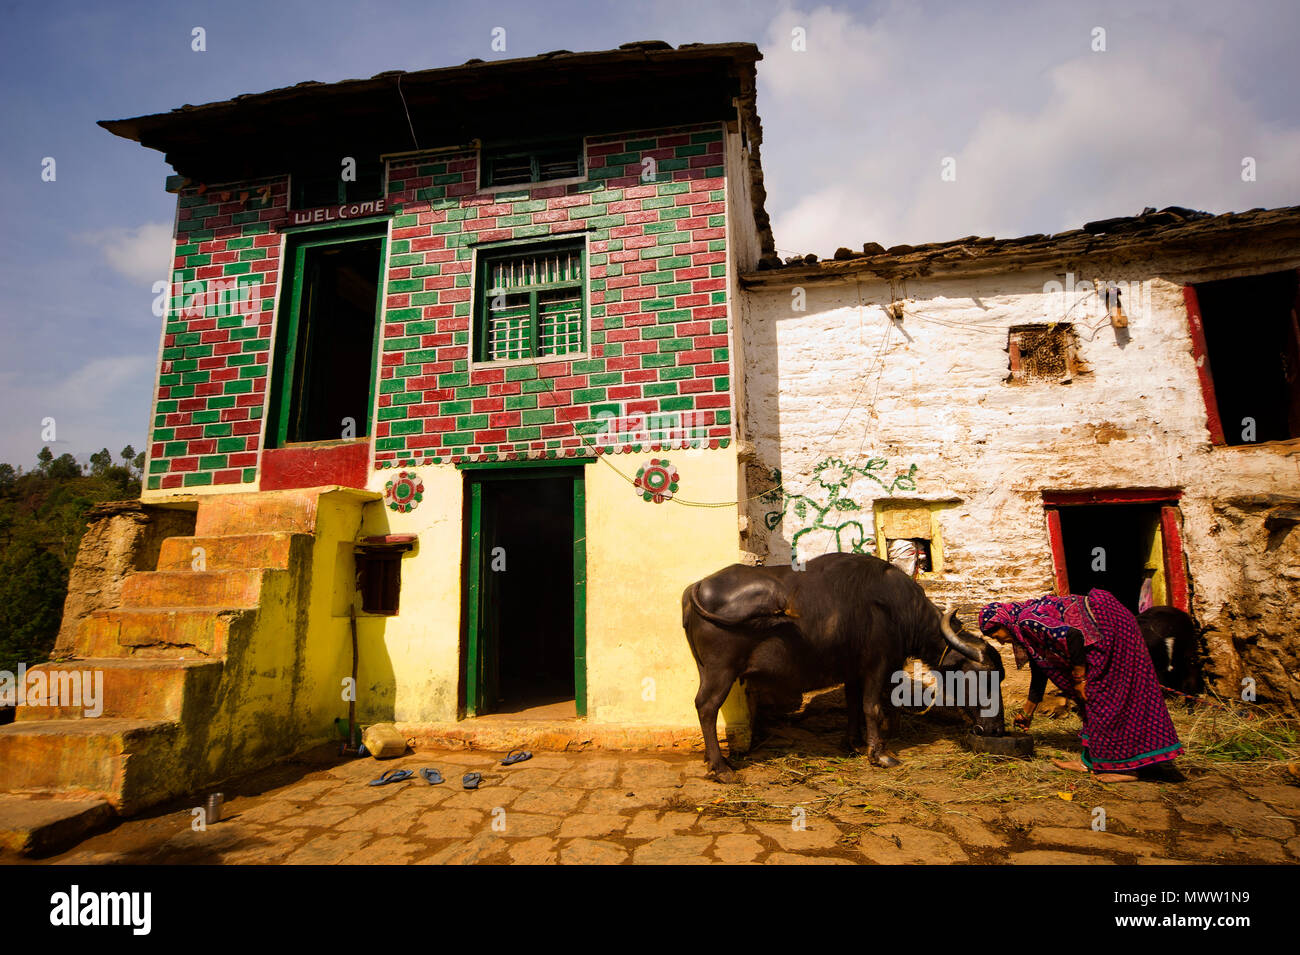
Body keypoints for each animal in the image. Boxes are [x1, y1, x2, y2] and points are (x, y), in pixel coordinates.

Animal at [681, 548, 1003, 779]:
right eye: (982, 678)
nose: (996, 728)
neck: (898, 612)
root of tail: (698, 586)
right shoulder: (877, 667)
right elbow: (873, 708)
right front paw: (880, 754)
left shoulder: (853, 671)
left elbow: (853, 707)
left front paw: (854, 743)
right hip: (721, 671)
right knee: (706, 707)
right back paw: (721, 768)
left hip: (704, 668)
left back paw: (711, 759)